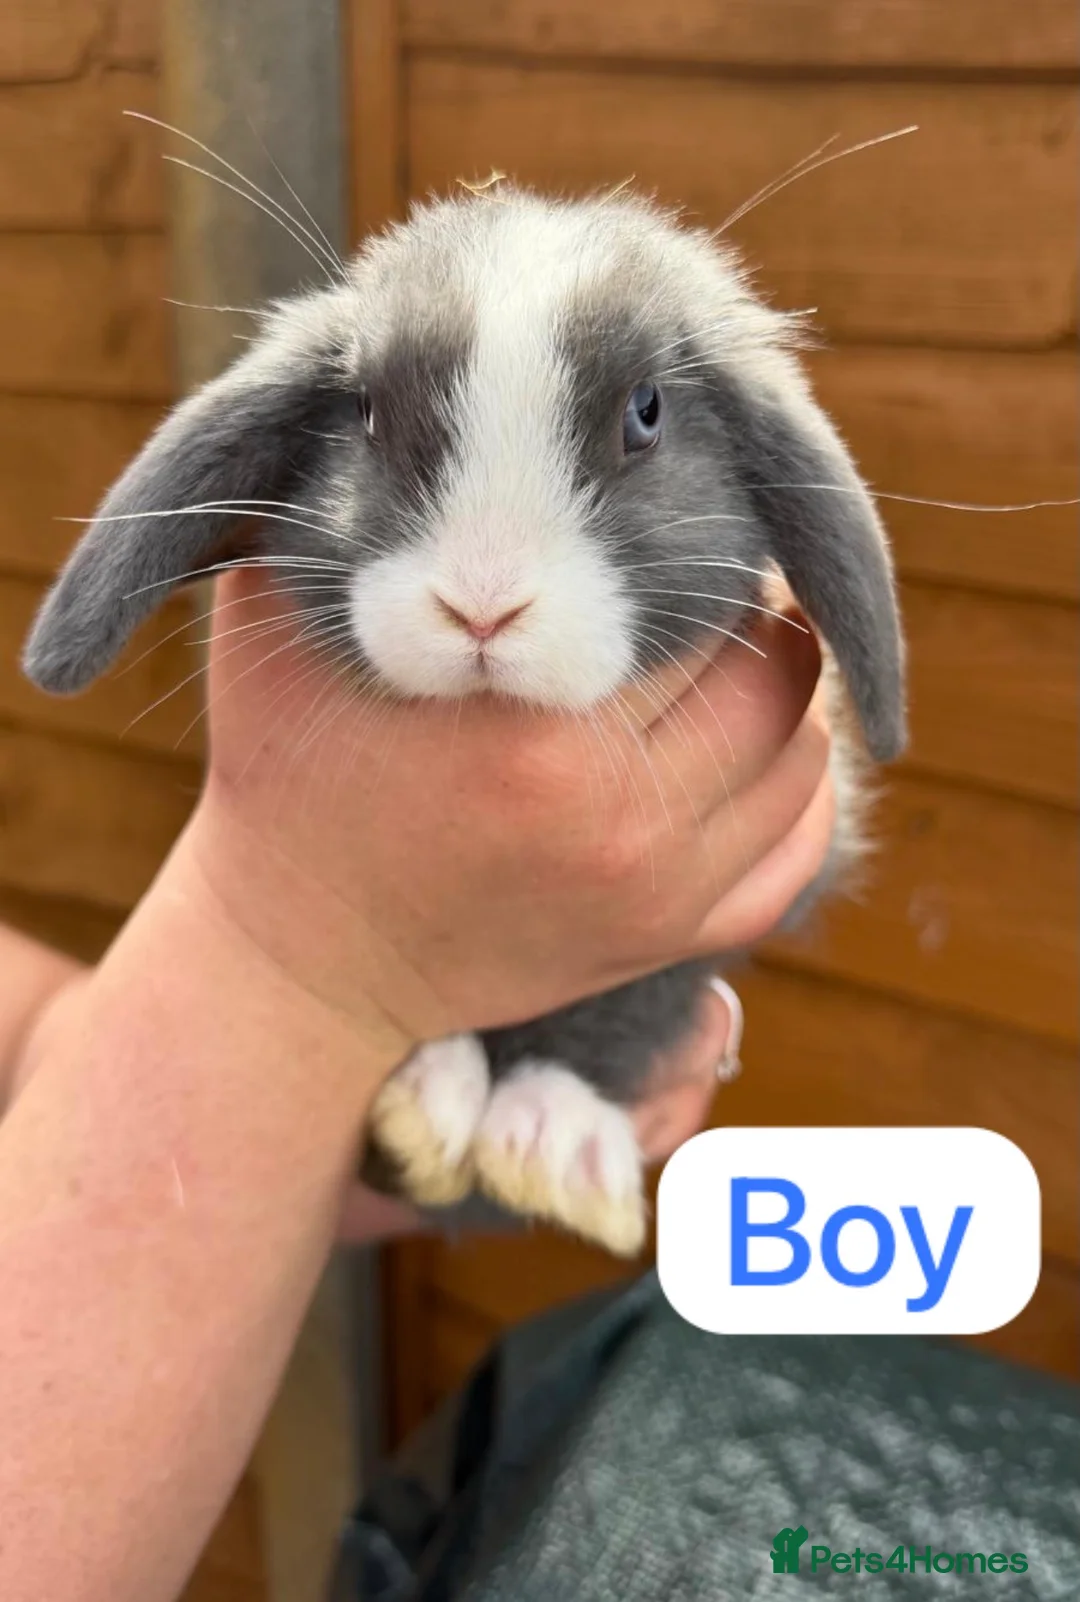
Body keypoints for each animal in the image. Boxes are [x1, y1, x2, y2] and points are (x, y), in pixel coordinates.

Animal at [22, 183, 905, 1257]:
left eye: (646, 413)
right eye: (364, 412)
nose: (482, 608)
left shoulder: (758, 891)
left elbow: (632, 1001)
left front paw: (553, 1144)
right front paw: (440, 1121)